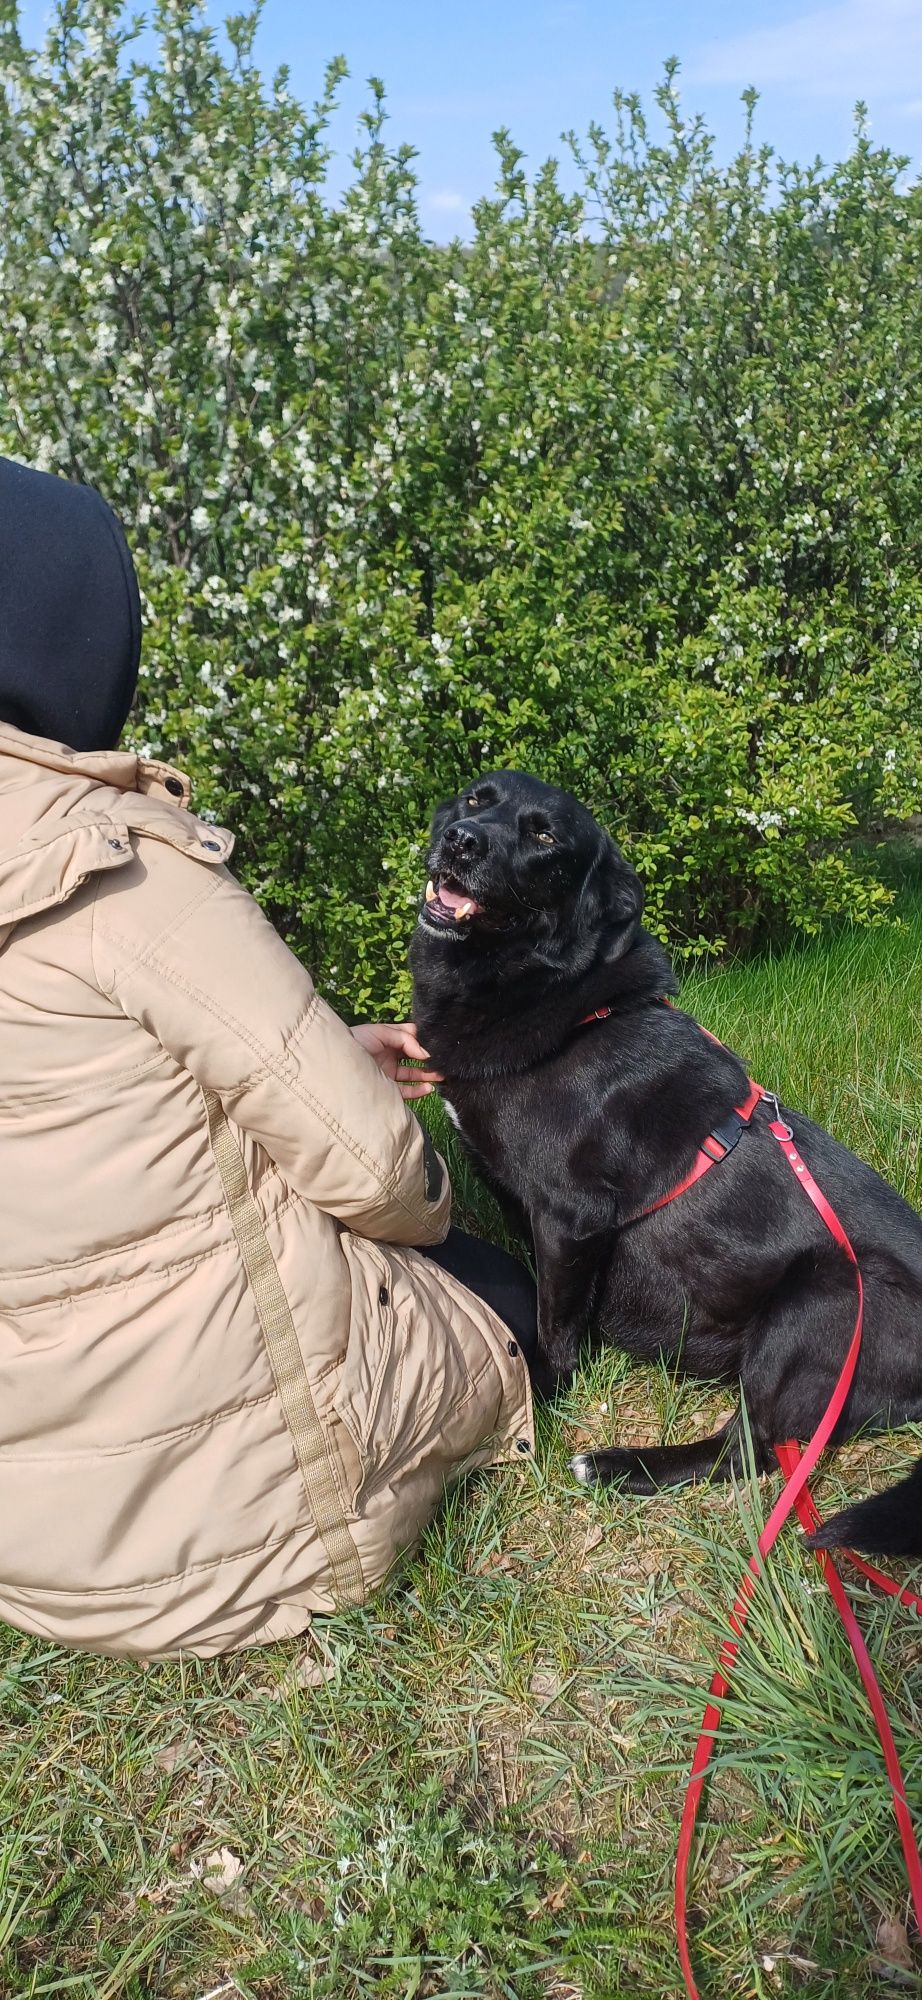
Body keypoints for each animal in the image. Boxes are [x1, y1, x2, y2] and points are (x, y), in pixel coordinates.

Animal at [410, 772, 920, 1552]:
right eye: (477, 799)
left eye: (545, 835)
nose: (461, 843)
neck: (565, 1004)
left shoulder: (570, 1215)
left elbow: (556, 1322)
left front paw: (545, 1396)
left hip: (823, 1300)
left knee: (753, 1452)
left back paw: (617, 1466)